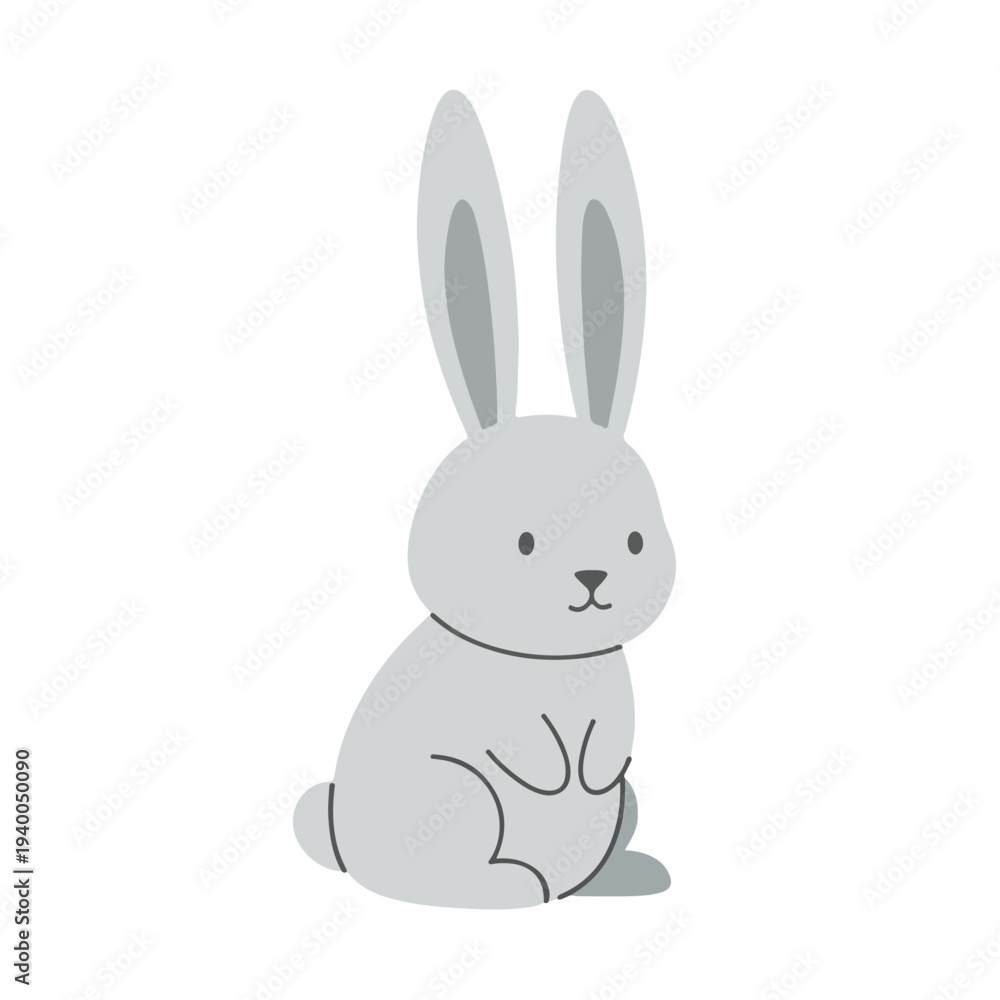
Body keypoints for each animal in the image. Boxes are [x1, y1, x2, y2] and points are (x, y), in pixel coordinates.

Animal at [293, 90, 676, 908]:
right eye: (523, 542)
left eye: (634, 541)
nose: (592, 579)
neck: (551, 658)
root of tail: (344, 849)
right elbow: (527, 745)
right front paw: (554, 775)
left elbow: (609, 749)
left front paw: (586, 773)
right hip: (457, 802)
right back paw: (518, 887)